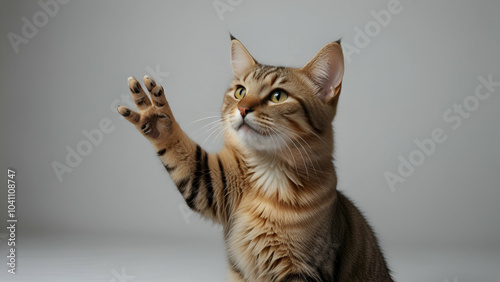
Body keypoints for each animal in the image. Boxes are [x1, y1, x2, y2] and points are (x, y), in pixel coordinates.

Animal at [118, 36, 394, 280]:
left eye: (278, 96)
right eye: (240, 92)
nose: (242, 109)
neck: (270, 172)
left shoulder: (303, 267)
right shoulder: (213, 185)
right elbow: (179, 151)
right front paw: (155, 116)